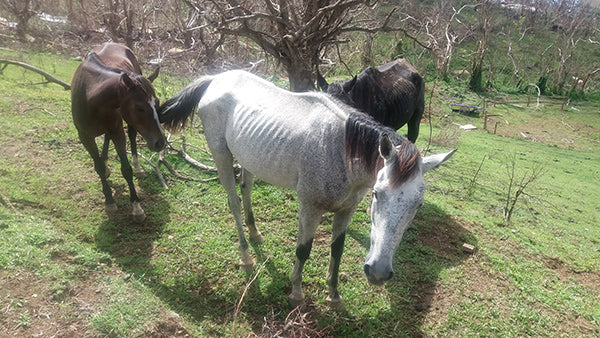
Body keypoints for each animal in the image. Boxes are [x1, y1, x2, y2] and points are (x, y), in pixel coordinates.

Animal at [72, 42, 166, 222]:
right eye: (140, 107)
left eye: (157, 103)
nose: (160, 142)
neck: (90, 95)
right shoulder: (84, 137)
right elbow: (98, 167)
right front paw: (109, 202)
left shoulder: (117, 131)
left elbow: (126, 169)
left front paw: (136, 208)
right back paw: (105, 162)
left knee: (131, 137)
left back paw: (138, 167)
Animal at [157, 70, 452, 310]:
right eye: (377, 194)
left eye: (418, 205)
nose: (378, 273)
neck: (340, 150)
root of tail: (216, 78)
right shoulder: (310, 208)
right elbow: (303, 250)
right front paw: (296, 294)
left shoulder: (346, 210)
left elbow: (337, 250)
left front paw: (334, 295)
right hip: (221, 155)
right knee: (234, 202)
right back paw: (246, 256)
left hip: (250, 158)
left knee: (246, 190)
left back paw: (255, 232)